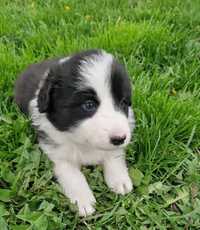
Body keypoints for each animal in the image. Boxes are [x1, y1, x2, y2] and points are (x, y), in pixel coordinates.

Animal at [14, 49, 135, 217]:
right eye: (88, 105)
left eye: (123, 102)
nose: (120, 138)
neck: (84, 143)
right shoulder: (58, 154)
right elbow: (72, 174)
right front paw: (83, 199)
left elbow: (114, 156)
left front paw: (120, 180)